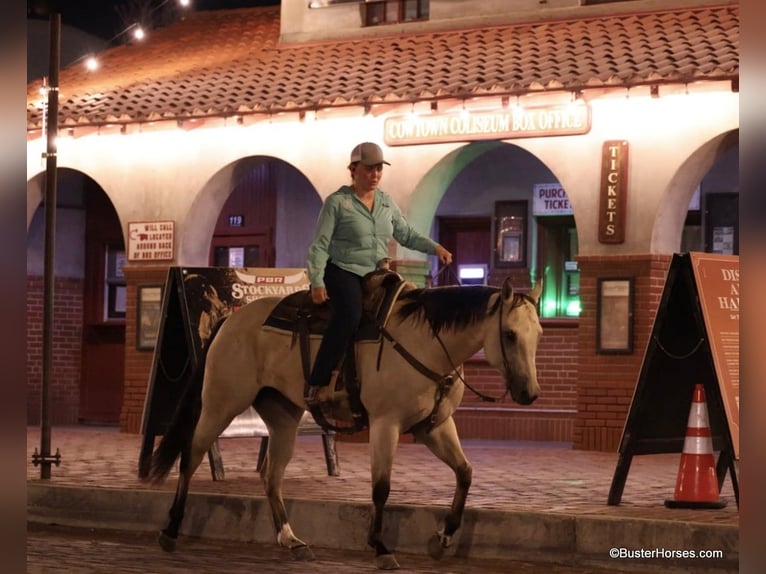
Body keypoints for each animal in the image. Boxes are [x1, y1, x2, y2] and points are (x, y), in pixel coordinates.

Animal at [147, 274, 544, 572]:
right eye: (509, 334)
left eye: (538, 333)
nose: (530, 393)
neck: (425, 342)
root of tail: (230, 321)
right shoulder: (386, 423)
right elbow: (381, 487)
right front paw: (381, 547)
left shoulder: (435, 427)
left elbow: (464, 473)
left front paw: (442, 539)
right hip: (221, 404)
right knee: (191, 456)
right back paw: (170, 530)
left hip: (282, 416)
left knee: (271, 475)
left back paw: (291, 541)